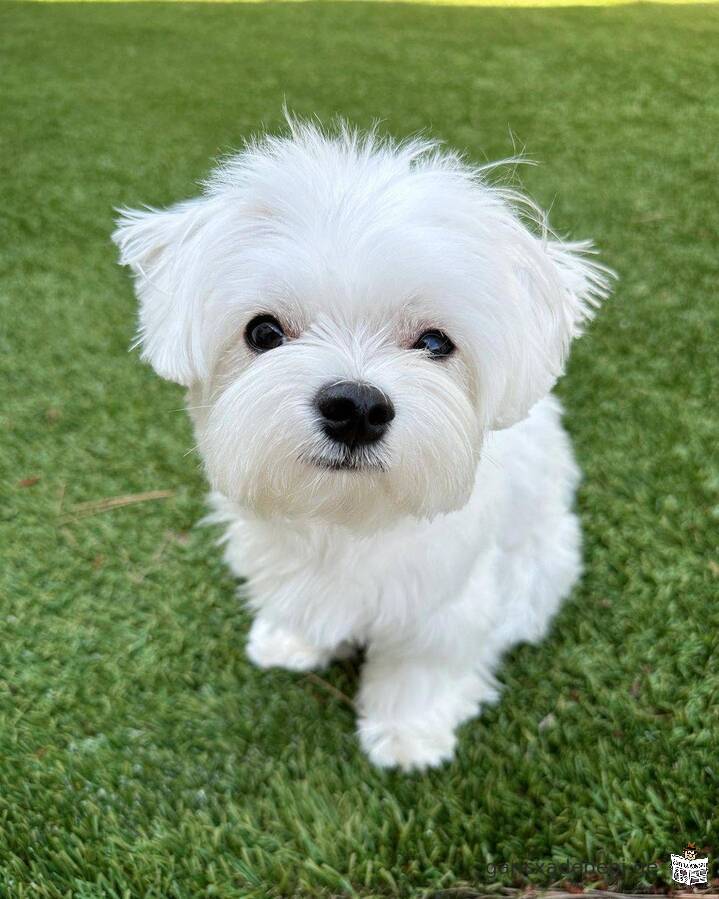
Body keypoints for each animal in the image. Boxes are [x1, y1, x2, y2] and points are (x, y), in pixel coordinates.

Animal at [115, 116, 612, 768]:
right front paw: (289, 640)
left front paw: (408, 734)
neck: (349, 519)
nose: (356, 407)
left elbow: (421, 666)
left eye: (434, 342)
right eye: (263, 332)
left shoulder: (444, 601)